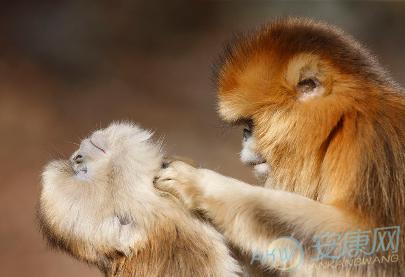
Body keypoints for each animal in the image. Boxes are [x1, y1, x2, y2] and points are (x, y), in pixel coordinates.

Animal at [153, 18, 402, 274]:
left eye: (251, 124)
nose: (245, 134)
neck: (342, 120)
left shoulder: (369, 143)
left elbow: (366, 243)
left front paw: (196, 182)